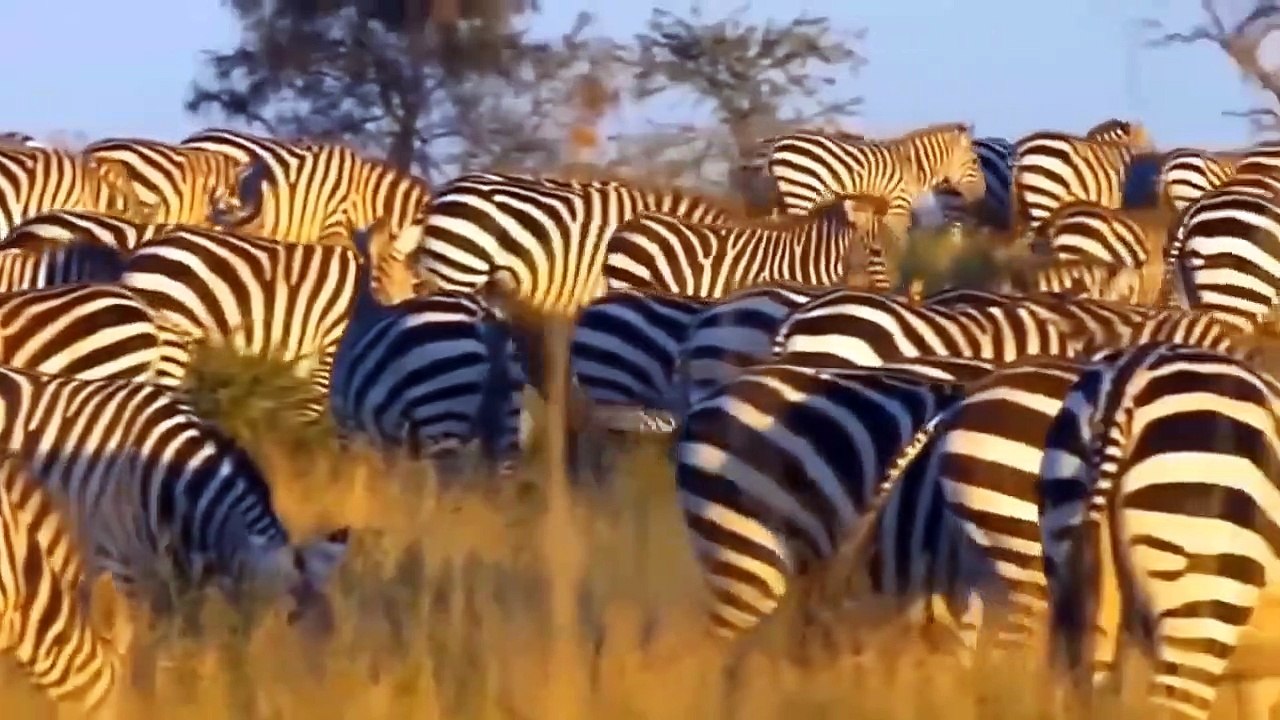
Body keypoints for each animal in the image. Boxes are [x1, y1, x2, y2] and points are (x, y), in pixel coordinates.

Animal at [759, 123, 986, 241]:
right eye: (975, 161)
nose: (982, 193)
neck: (910, 166)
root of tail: (778, 142)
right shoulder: (898, 207)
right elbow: (899, 243)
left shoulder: (865, 210)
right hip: (800, 193)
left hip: (783, 197)